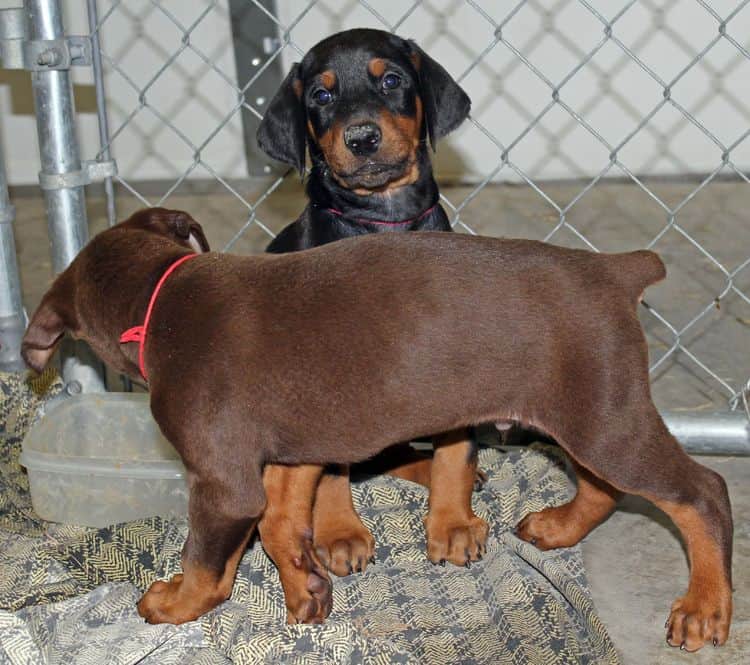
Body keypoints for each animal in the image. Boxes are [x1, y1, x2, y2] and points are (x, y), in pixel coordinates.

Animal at [22, 209, 736, 648]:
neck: (160, 298)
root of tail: (615, 269)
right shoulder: (297, 448)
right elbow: (281, 523)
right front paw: (308, 588)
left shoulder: (223, 483)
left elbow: (209, 560)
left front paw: (172, 603)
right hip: (586, 409)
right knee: (608, 486)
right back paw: (558, 527)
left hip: (602, 417)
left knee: (702, 492)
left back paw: (704, 607)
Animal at [258, 29, 482, 580]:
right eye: (321, 95)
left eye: (392, 81)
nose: (361, 138)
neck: (383, 219)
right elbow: (330, 470)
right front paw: (340, 533)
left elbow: (455, 450)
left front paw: (452, 523)